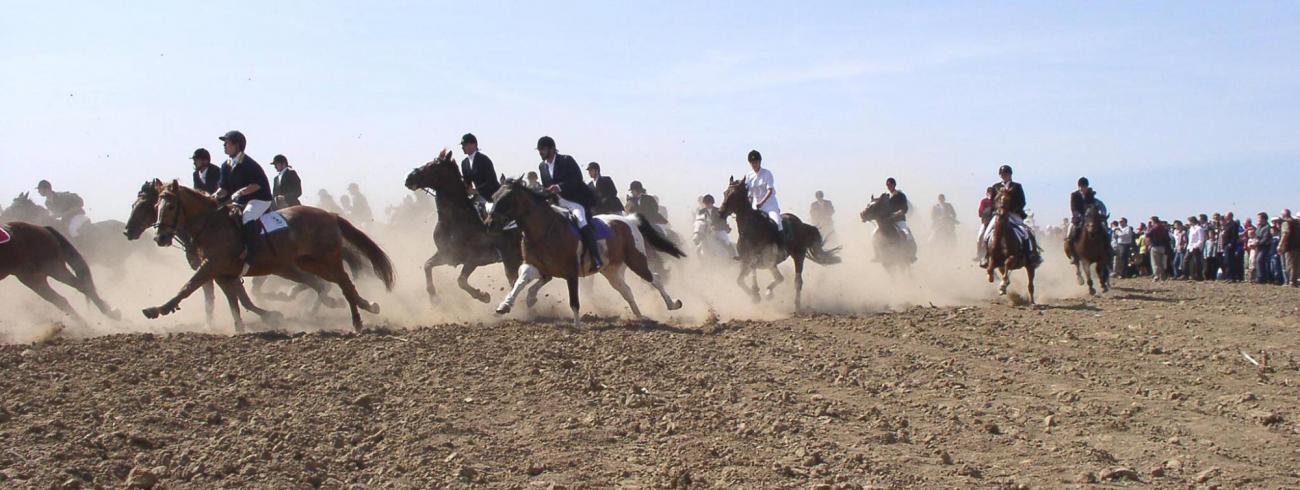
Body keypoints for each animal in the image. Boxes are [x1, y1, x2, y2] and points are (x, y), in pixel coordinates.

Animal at [141, 180, 395, 332]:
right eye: (155, 206)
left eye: (171, 206)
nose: (160, 237)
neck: (210, 224)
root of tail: (330, 215)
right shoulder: (223, 274)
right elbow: (236, 302)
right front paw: (241, 329)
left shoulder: (211, 266)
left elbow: (188, 286)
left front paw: (159, 309)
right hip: (306, 263)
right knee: (328, 284)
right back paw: (363, 308)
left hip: (325, 259)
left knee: (342, 283)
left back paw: (358, 319)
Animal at [408, 148, 525, 301]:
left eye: (432, 166)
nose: (408, 178)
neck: (454, 221)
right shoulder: (446, 256)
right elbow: (427, 265)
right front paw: (433, 296)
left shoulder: (475, 259)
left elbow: (461, 281)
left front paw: (483, 296)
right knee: (513, 279)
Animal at [488, 176, 686, 328]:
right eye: (493, 196)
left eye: (506, 199)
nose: (489, 223)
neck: (545, 230)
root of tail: (629, 220)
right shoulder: (535, 265)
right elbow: (521, 281)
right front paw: (505, 305)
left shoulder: (570, 272)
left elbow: (574, 300)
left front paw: (577, 325)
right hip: (612, 271)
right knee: (627, 290)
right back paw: (641, 316)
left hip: (636, 260)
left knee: (655, 278)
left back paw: (673, 304)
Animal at [717, 178, 837, 309]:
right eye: (725, 193)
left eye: (734, 195)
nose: (720, 213)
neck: (751, 230)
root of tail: (801, 224)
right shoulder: (746, 261)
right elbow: (739, 281)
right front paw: (755, 296)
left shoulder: (758, 259)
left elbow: (755, 272)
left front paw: (757, 293)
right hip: (773, 263)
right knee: (780, 278)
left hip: (798, 256)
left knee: (797, 281)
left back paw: (797, 305)